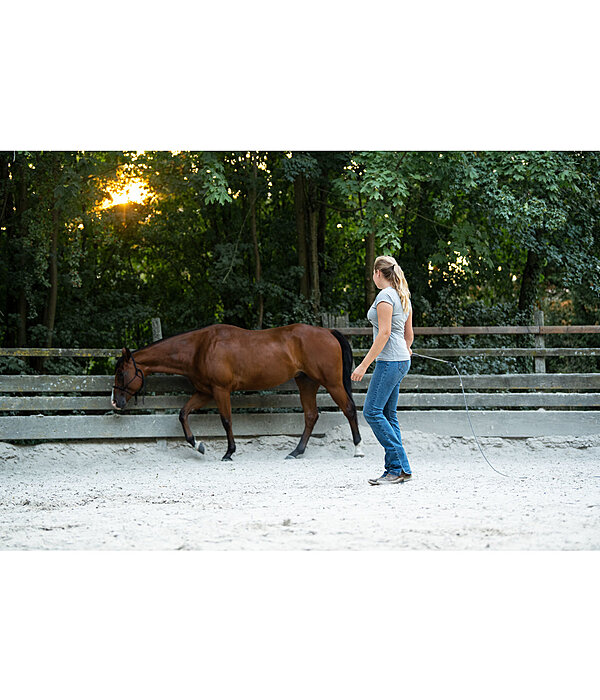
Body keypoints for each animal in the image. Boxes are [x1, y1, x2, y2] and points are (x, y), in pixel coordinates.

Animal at [111, 326, 366, 462]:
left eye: (121, 373)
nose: (115, 402)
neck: (199, 348)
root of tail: (328, 332)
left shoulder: (220, 390)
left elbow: (226, 421)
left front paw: (229, 452)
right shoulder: (205, 392)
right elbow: (183, 414)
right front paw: (199, 445)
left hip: (332, 383)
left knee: (349, 409)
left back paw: (358, 449)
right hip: (307, 383)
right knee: (311, 416)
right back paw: (296, 452)